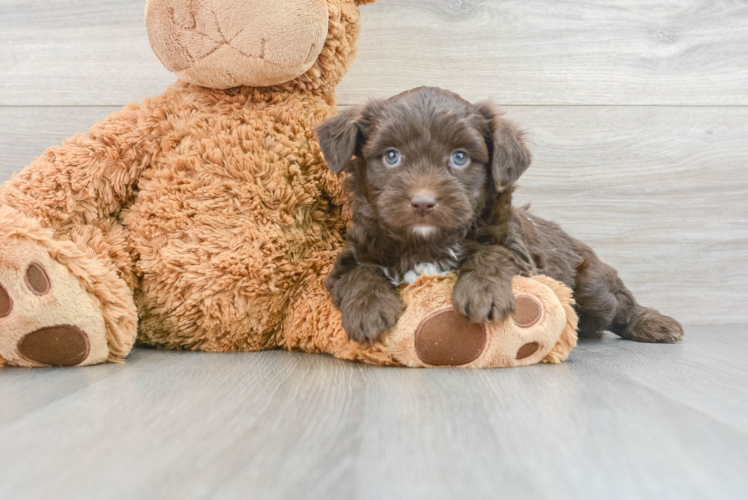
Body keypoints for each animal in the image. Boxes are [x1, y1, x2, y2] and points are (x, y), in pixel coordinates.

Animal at [316, 87, 684, 344]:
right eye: (391, 156)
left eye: (460, 157)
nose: (422, 203)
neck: (426, 243)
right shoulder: (351, 255)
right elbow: (360, 273)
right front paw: (368, 310)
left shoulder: (520, 253)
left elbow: (493, 254)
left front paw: (483, 294)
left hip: (592, 284)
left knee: (618, 305)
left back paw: (654, 324)